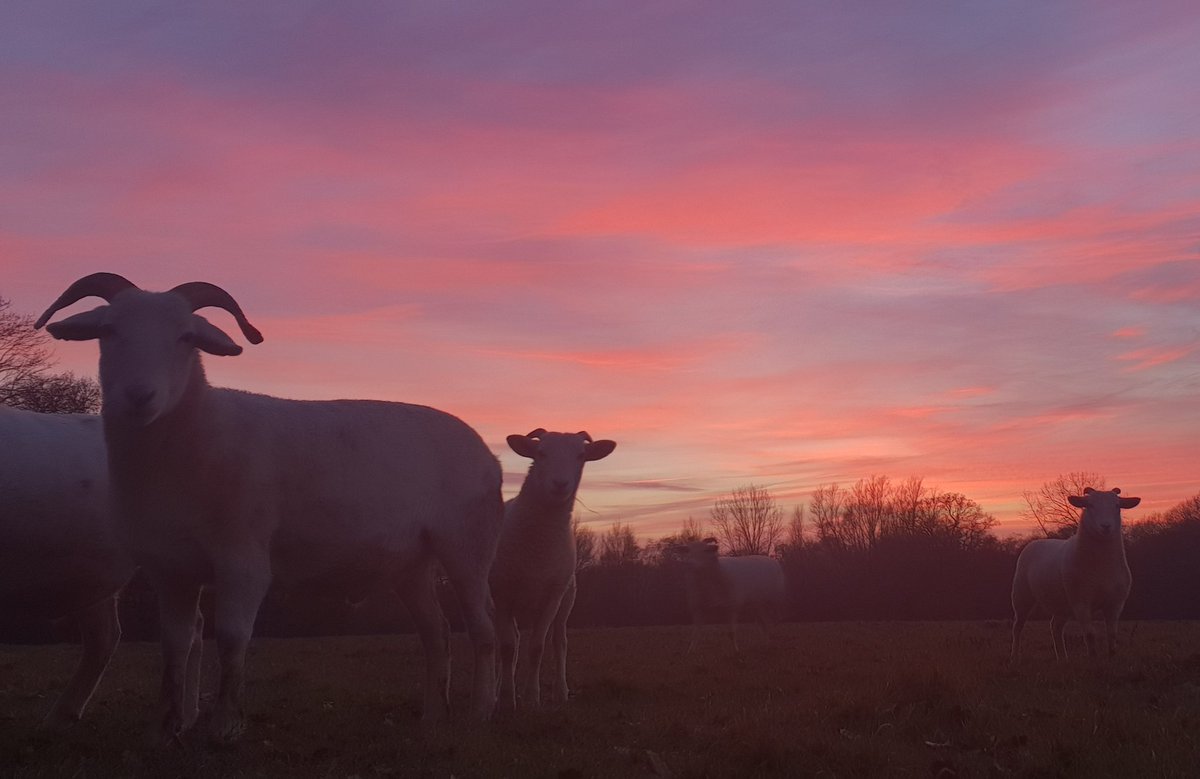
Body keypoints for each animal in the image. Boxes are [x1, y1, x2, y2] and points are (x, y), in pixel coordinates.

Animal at [36, 272, 503, 744]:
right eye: (108, 330)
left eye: (186, 337)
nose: (139, 396)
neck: (196, 437)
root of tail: (485, 450)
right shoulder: (170, 570)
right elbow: (175, 645)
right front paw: (167, 727)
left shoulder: (243, 559)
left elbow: (231, 638)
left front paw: (225, 725)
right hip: (412, 562)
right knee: (436, 632)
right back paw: (433, 716)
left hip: (467, 546)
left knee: (482, 629)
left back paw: (481, 712)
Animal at [490, 429, 615, 712]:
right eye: (541, 452)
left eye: (581, 455)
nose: (560, 484)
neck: (538, 546)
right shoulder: (502, 594)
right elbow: (506, 647)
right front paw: (506, 698)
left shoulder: (552, 596)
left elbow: (537, 647)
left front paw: (532, 698)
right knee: (504, 642)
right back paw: (497, 688)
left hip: (568, 598)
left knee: (559, 642)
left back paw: (560, 692)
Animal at [1010, 486, 1141, 661]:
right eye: (1090, 505)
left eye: (1117, 506)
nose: (1106, 526)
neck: (1102, 566)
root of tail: (1035, 542)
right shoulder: (1081, 602)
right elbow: (1090, 634)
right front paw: (1093, 660)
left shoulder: (1115, 603)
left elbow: (1112, 635)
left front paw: (1112, 658)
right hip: (1021, 596)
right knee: (1018, 626)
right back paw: (1015, 656)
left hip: (1061, 603)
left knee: (1055, 627)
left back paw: (1063, 658)